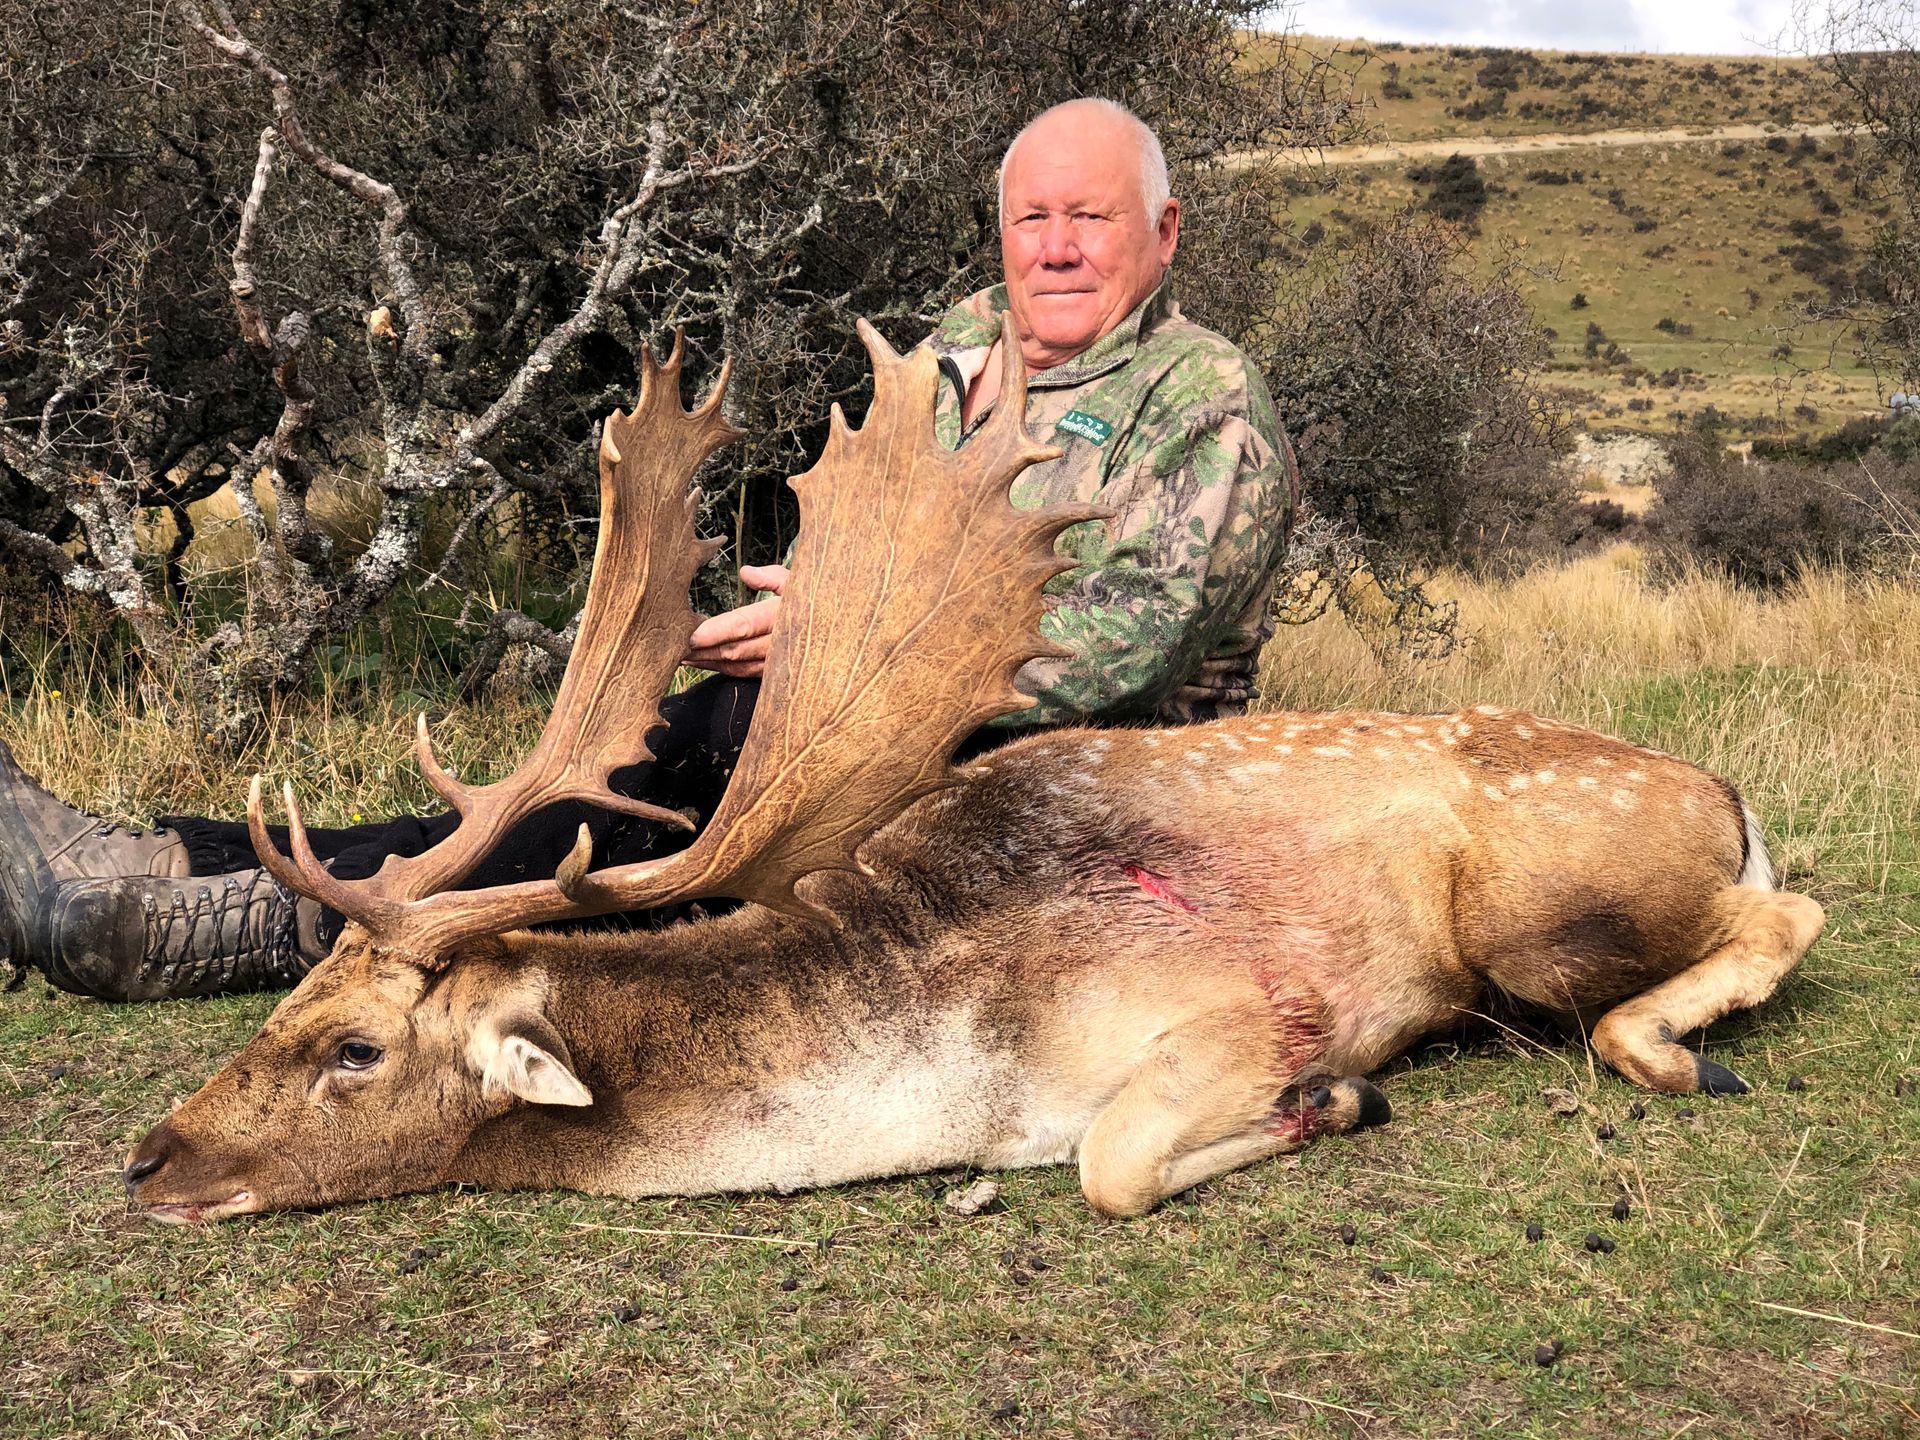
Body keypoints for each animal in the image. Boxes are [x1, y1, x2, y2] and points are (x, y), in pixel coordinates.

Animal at [122, 324, 1826, 1224]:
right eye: (285, 1005)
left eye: (352, 1051)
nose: (148, 1157)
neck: (955, 1063)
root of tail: (1723, 797)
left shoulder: (1227, 1007)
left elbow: (1116, 1166)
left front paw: (1336, 1099)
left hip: (1542, 906)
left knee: (1782, 919)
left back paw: (1680, 1050)